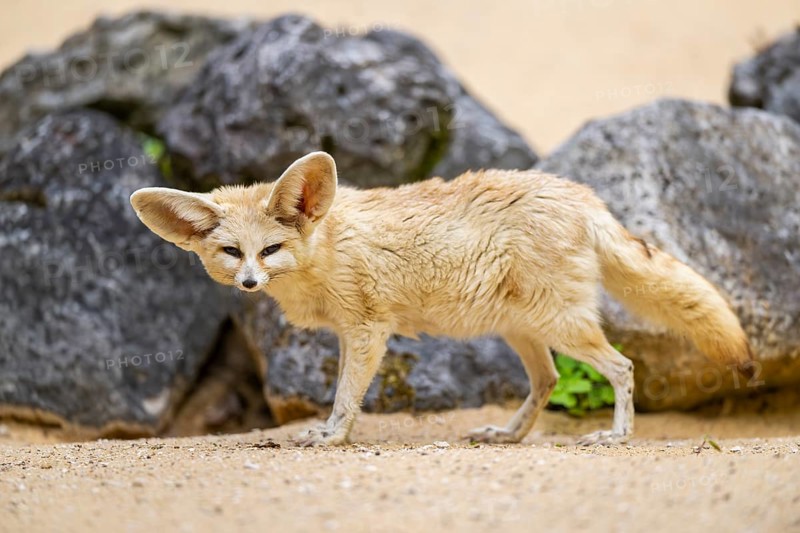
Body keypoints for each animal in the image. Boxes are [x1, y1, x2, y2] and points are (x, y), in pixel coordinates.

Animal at [130, 151, 753, 446]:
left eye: (271, 249)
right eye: (232, 253)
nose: (249, 285)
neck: (328, 246)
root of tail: (580, 194)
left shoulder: (368, 331)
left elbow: (345, 397)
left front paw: (331, 437)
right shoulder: (350, 333)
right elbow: (345, 394)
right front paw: (334, 433)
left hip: (562, 326)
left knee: (622, 368)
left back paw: (617, 435)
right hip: (523, 330)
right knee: (548, 380)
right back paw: (507, 435)